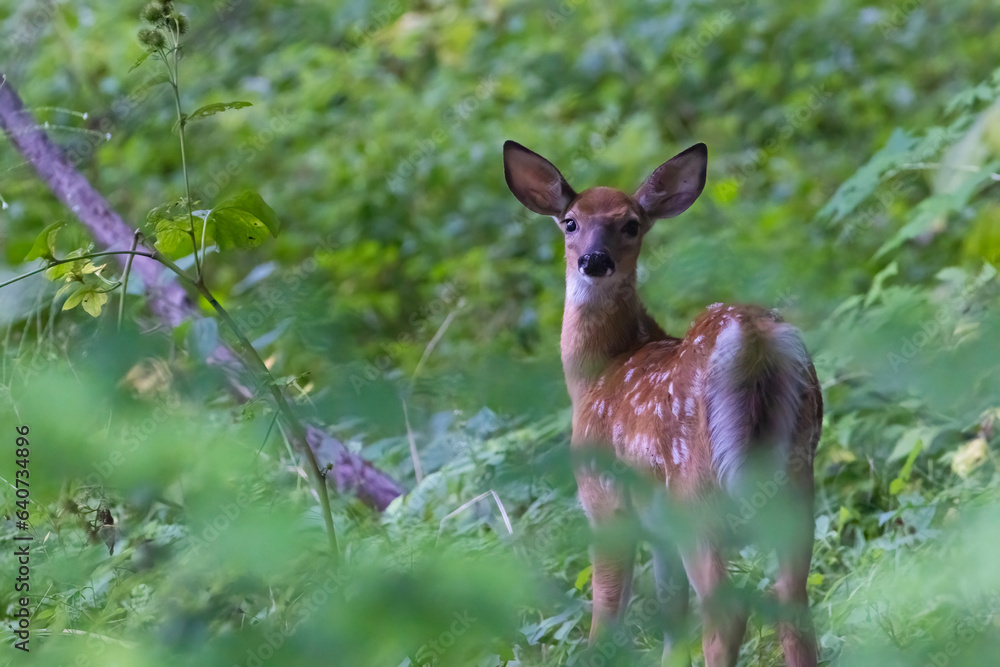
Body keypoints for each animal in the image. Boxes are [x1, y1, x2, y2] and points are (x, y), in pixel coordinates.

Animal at [503, 140, 822, 667]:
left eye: (631, 223)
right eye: (570, 221)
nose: (594, 260)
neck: (599, 374)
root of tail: (753, 337)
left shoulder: (604, 499)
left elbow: (607, 615)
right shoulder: (659, 527)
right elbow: (672, 612)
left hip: (696, 491)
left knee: (727, 613)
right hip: (797, 477)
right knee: (791, 600)